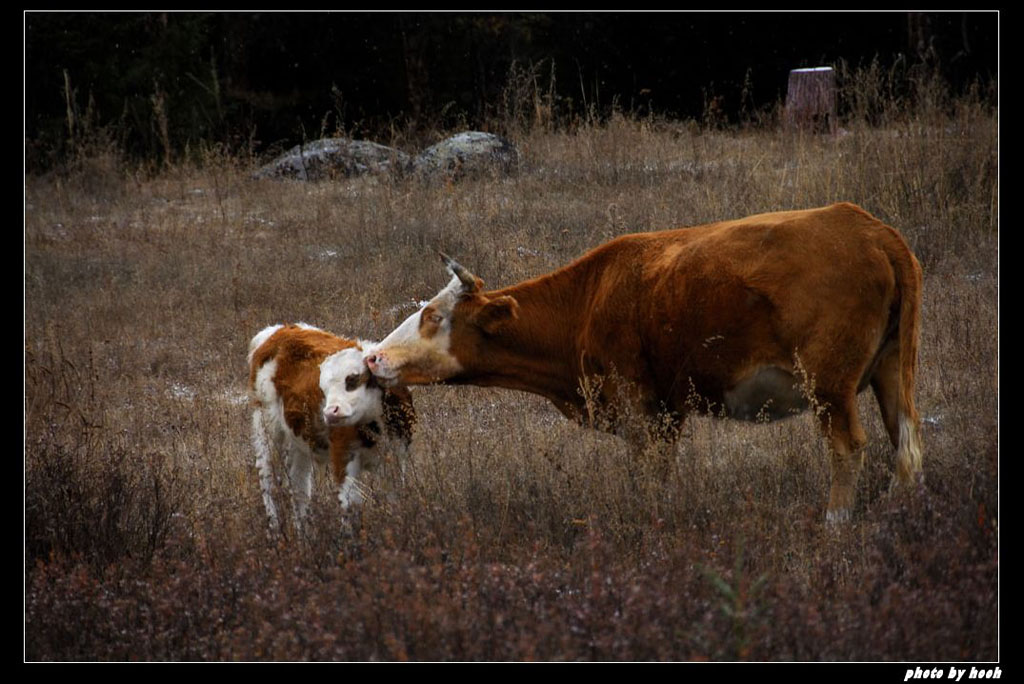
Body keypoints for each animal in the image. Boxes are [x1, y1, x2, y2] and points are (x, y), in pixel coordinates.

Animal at [245, 321, 413, 528]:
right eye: (323, 387)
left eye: (353, 379)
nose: (330, 412)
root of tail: (275, 331)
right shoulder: (342, 458)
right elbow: (350, 505)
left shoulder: (396, 459)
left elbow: (394, 501)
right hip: (266, 425)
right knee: (267, 478)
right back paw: (275, 528)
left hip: (298, 440)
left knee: (299, 486)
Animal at [366, 202, 921, 524]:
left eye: (434, 315)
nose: (373, 356)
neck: (588, 300)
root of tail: (869, 229)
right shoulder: (668, 411)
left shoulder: (637, 407)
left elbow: (648, 475)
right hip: (894, 368)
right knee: (906, 441)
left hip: (829, 384)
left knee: (848, 447)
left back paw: (835, 525)